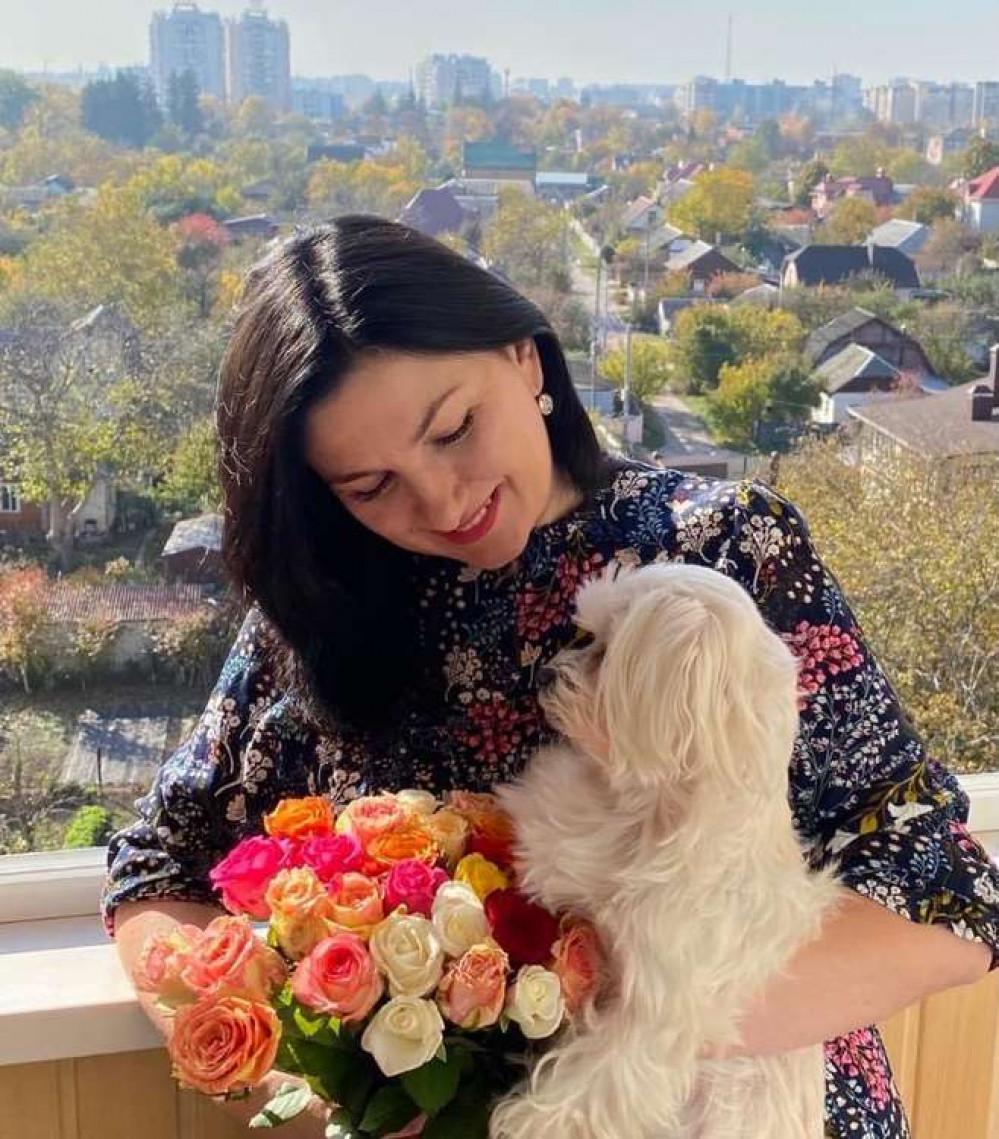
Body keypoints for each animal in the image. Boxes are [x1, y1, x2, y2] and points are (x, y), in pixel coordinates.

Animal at [492, 562, 842, 1139]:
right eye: (585, 633)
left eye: (606, 650)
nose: (544, 676)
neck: (646, 815)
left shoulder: (655, 1015)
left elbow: (598, 1077)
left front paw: (529, 1122)